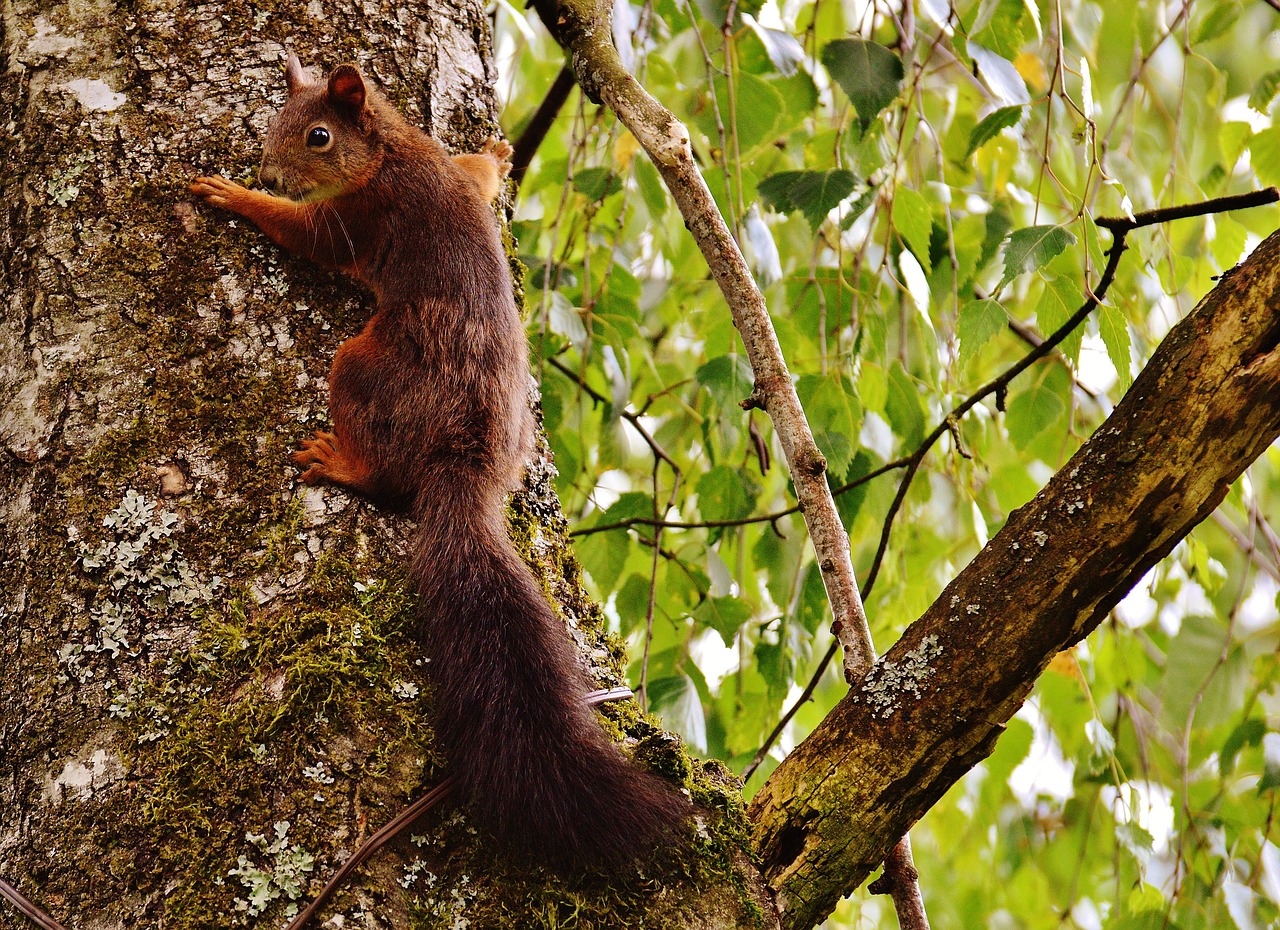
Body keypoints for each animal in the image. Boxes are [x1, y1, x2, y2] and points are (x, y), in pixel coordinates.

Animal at [189, 56, 691, 874]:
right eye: (274, 123)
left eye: (317, 136)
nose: (267, 170)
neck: (392, 150)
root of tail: (472, 464)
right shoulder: (440, 174)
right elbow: (477, 178)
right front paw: (496, 152)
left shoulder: (359, 216)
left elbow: (306, 235)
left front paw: (235, 196)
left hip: (365, 365)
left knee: (380, 458)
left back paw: (343, 463)